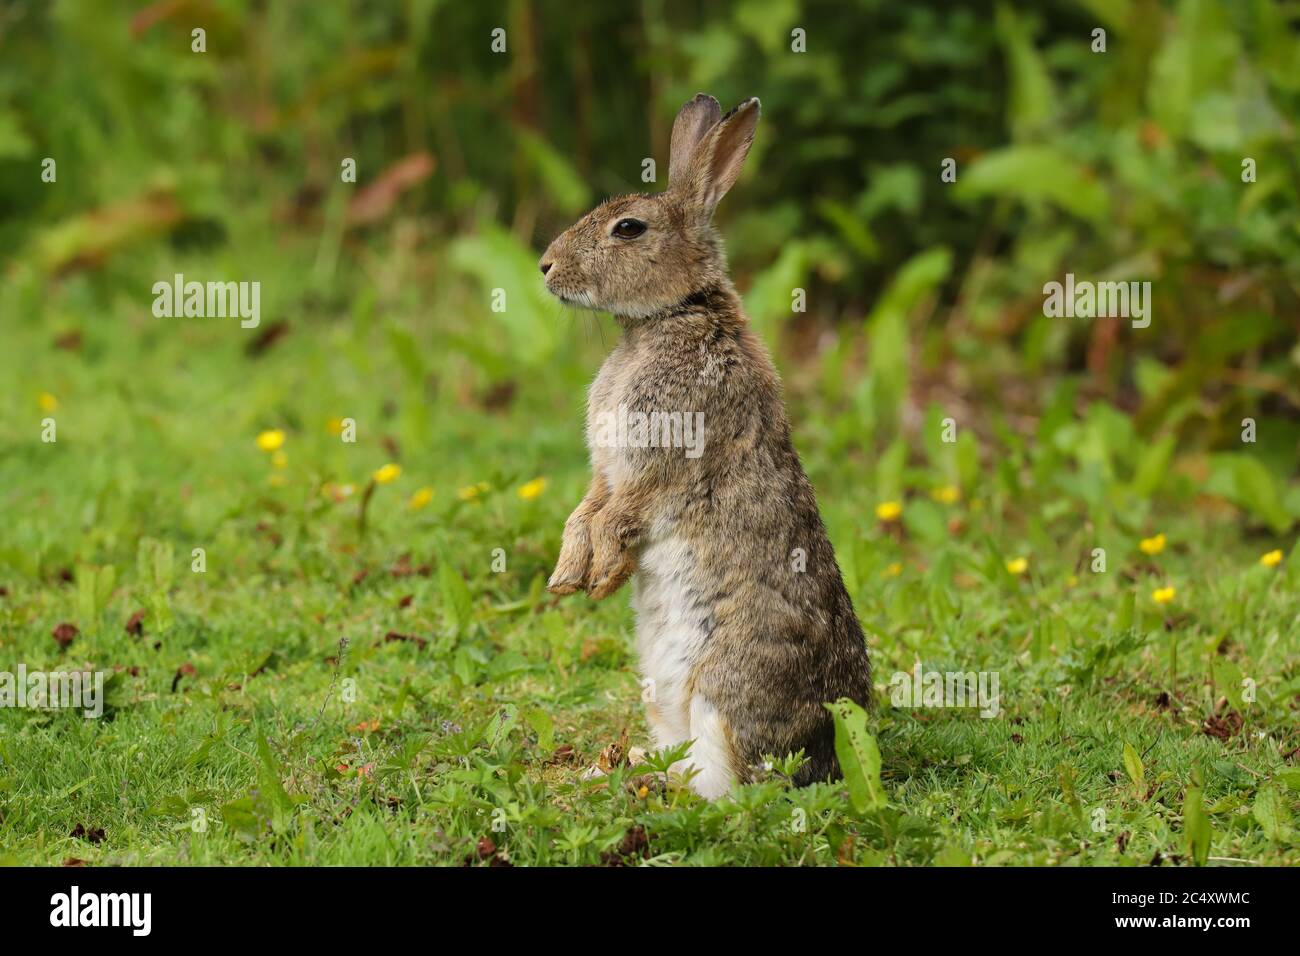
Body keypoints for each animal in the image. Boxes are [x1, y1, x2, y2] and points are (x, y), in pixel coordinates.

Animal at [538, 93, 872, 798]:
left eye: (628, 229)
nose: (546, 266)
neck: (672, 315)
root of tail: (826, 756)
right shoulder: (606, 468)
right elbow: (588, 508)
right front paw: (568, 574)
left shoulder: (660, 458)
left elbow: (623, 511)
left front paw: (601, 576)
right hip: (663, 696)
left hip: (722, 689)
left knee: (732, 784)